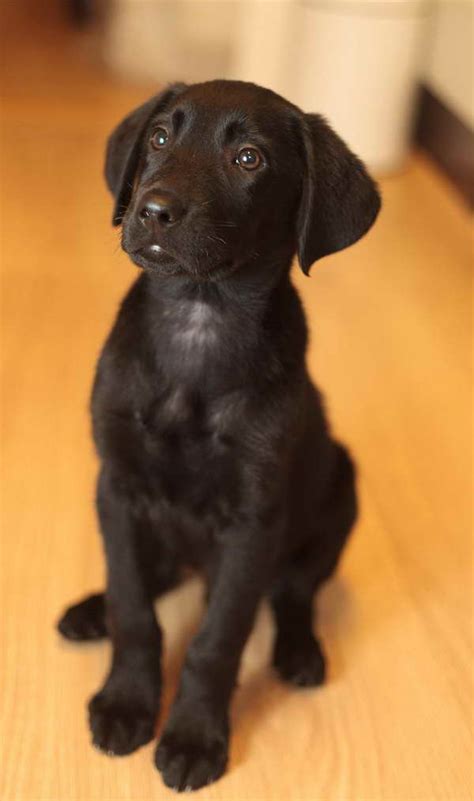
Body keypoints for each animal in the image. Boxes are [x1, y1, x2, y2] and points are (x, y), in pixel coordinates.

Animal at [57, 78, 382, 792]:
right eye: (158, 138)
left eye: (249, 159)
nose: (152, 211)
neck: (197, 323)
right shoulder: (116, 487)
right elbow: (134, 608)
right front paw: (126, 702)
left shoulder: (252, 524)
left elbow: (217, 639)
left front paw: (193, 737)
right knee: (145, 575)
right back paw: (91, 610)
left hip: (340, 493)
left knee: (294, 594)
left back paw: (299, 650)